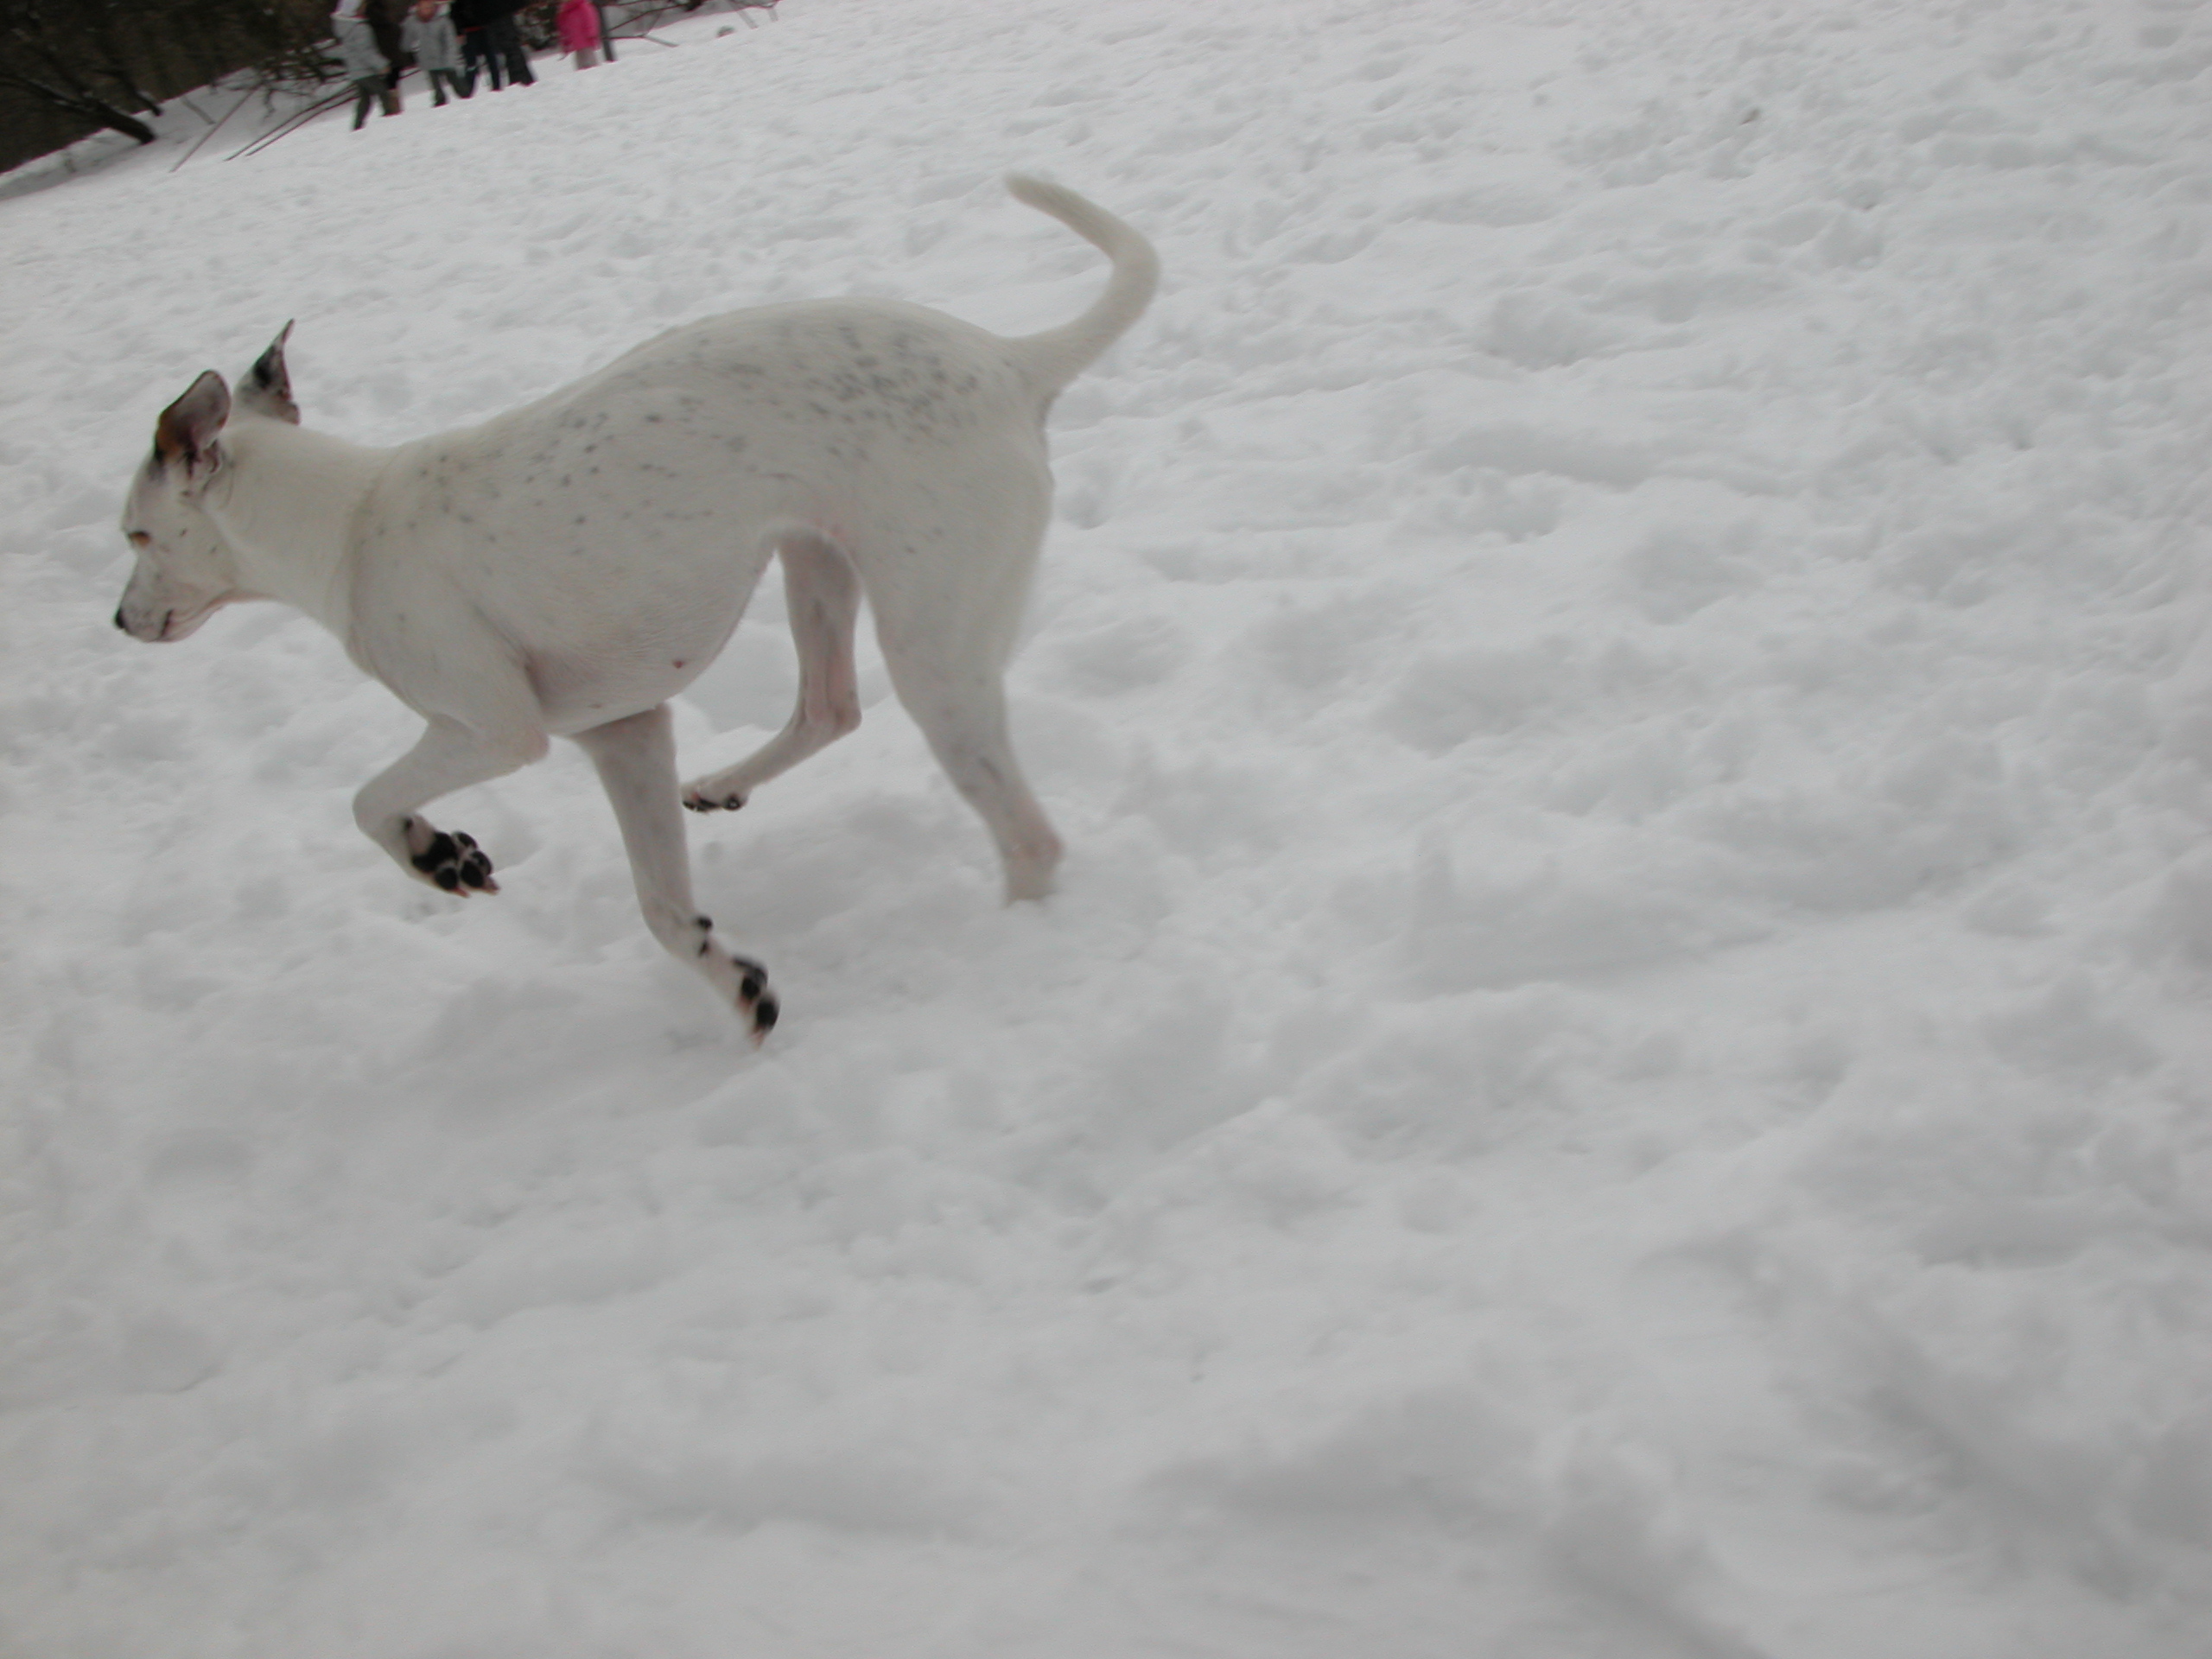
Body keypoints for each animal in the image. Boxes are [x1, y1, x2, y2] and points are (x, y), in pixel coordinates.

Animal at [118, 181, 1159, 1039]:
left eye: (133, 535)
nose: (119, 624)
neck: (347, 523)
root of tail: (1008, 359)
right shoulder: (624, 735)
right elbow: (663, 910)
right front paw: (736, 986)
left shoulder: (494, 729)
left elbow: (369, 800)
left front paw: (436, 855)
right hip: (816, 566)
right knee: (829, 707)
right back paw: (727, 783)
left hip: (932, 648)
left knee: (1027, 834)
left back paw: (1014, 942)